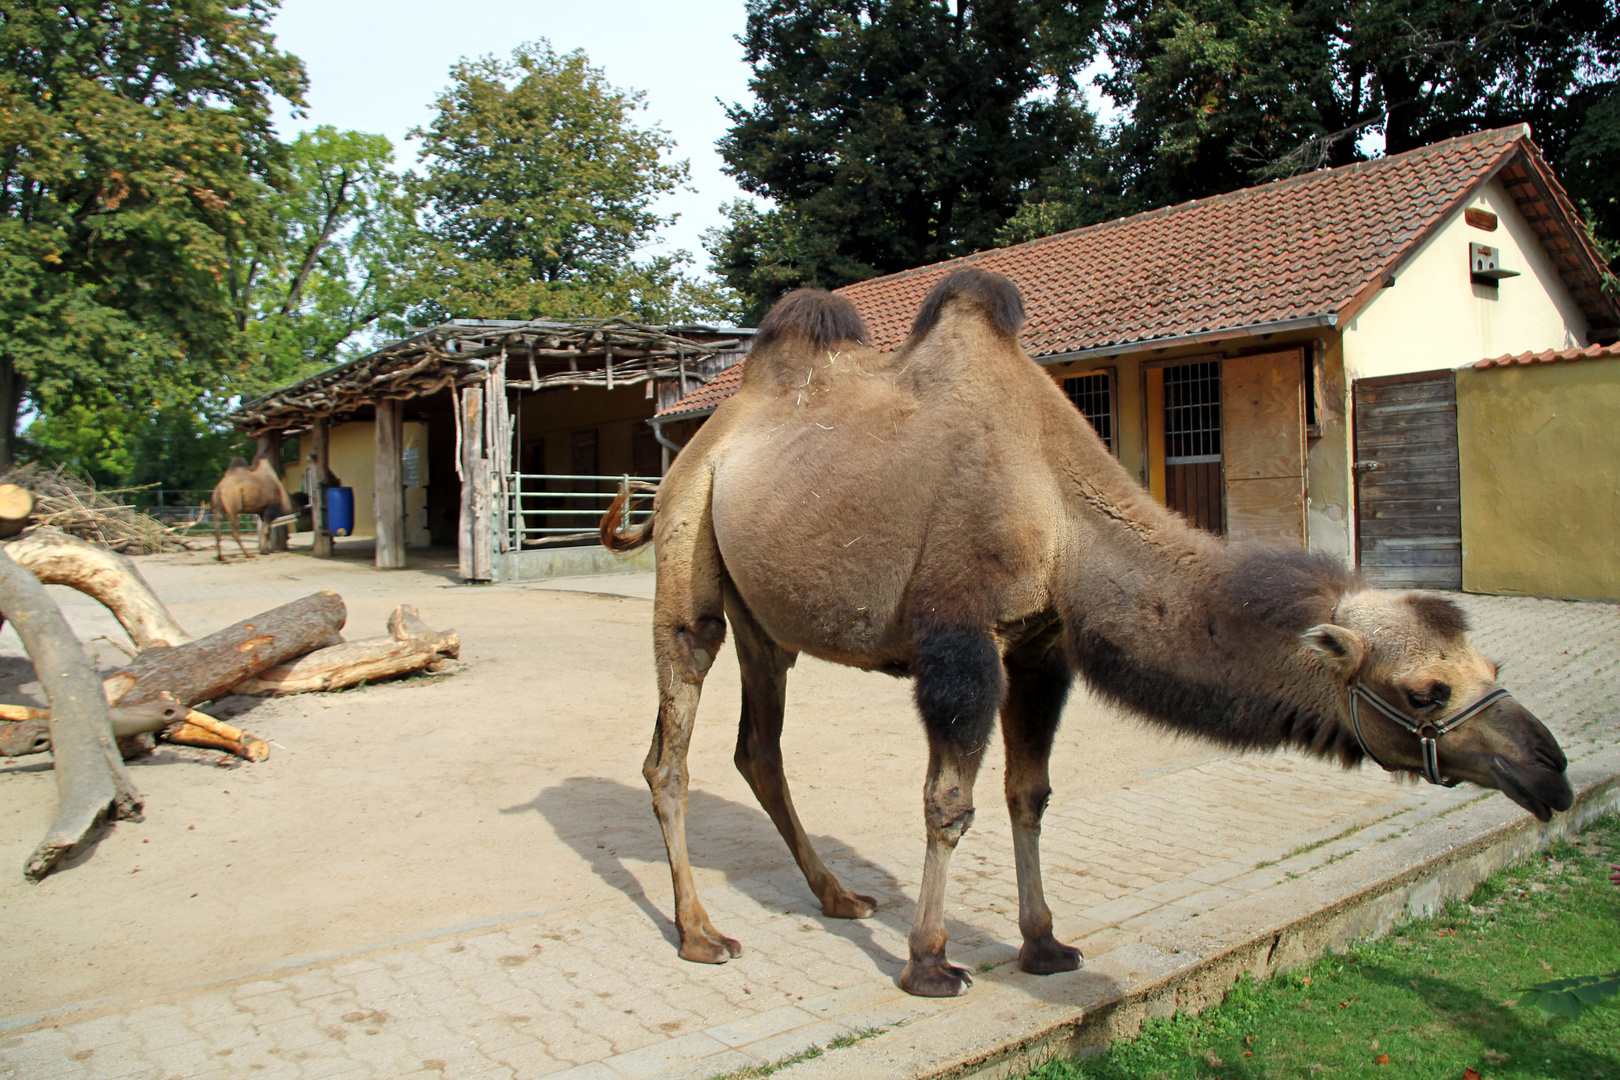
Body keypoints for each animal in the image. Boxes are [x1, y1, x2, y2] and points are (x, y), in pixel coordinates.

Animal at [602, 270, 1574, 997]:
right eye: (1426, 691)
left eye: (1488, 662)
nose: (1552, 770)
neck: (1064, 513)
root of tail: (700, 440)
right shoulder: (958, 637)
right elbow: (947, 802)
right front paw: (931, 963)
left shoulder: (1040, 647)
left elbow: (1028, 793)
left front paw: (1044, 946)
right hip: (689, 555)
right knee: (669, 744)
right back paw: (701, 933)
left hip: (767, 614)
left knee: (757, 747)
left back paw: (839, 897)